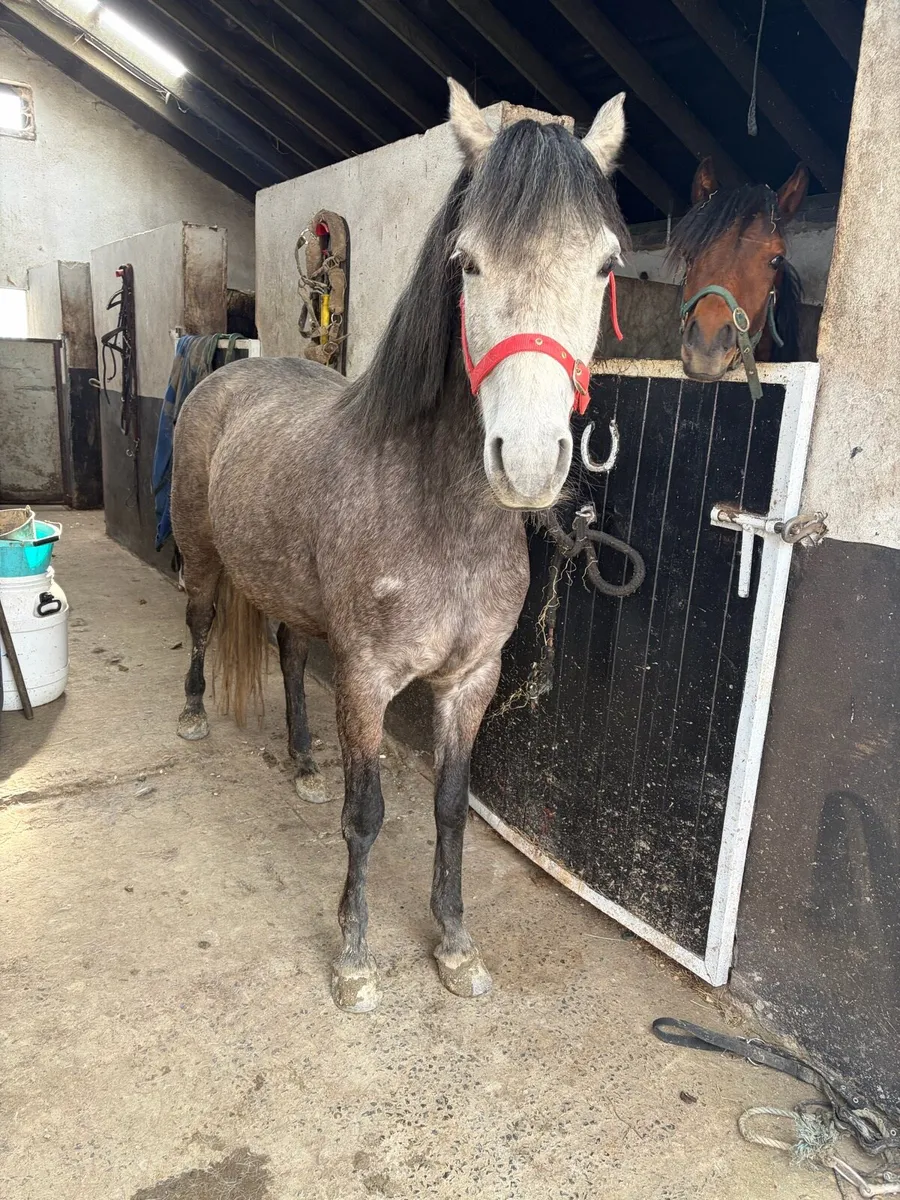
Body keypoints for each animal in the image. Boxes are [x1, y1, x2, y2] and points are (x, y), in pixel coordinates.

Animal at [170, 80, 629, 1013]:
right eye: (468, 263)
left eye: (604, 266)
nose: (530, 461)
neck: (439, 515)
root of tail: (232, 370)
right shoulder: (368, 678)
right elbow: (369, 814)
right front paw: (354, 957)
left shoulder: (470, 680)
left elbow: (450, 809)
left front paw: (454, 945)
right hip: (202, 559)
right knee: (201, 624)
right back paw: (197, 715)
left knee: (287, 655)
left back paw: (303, 760)